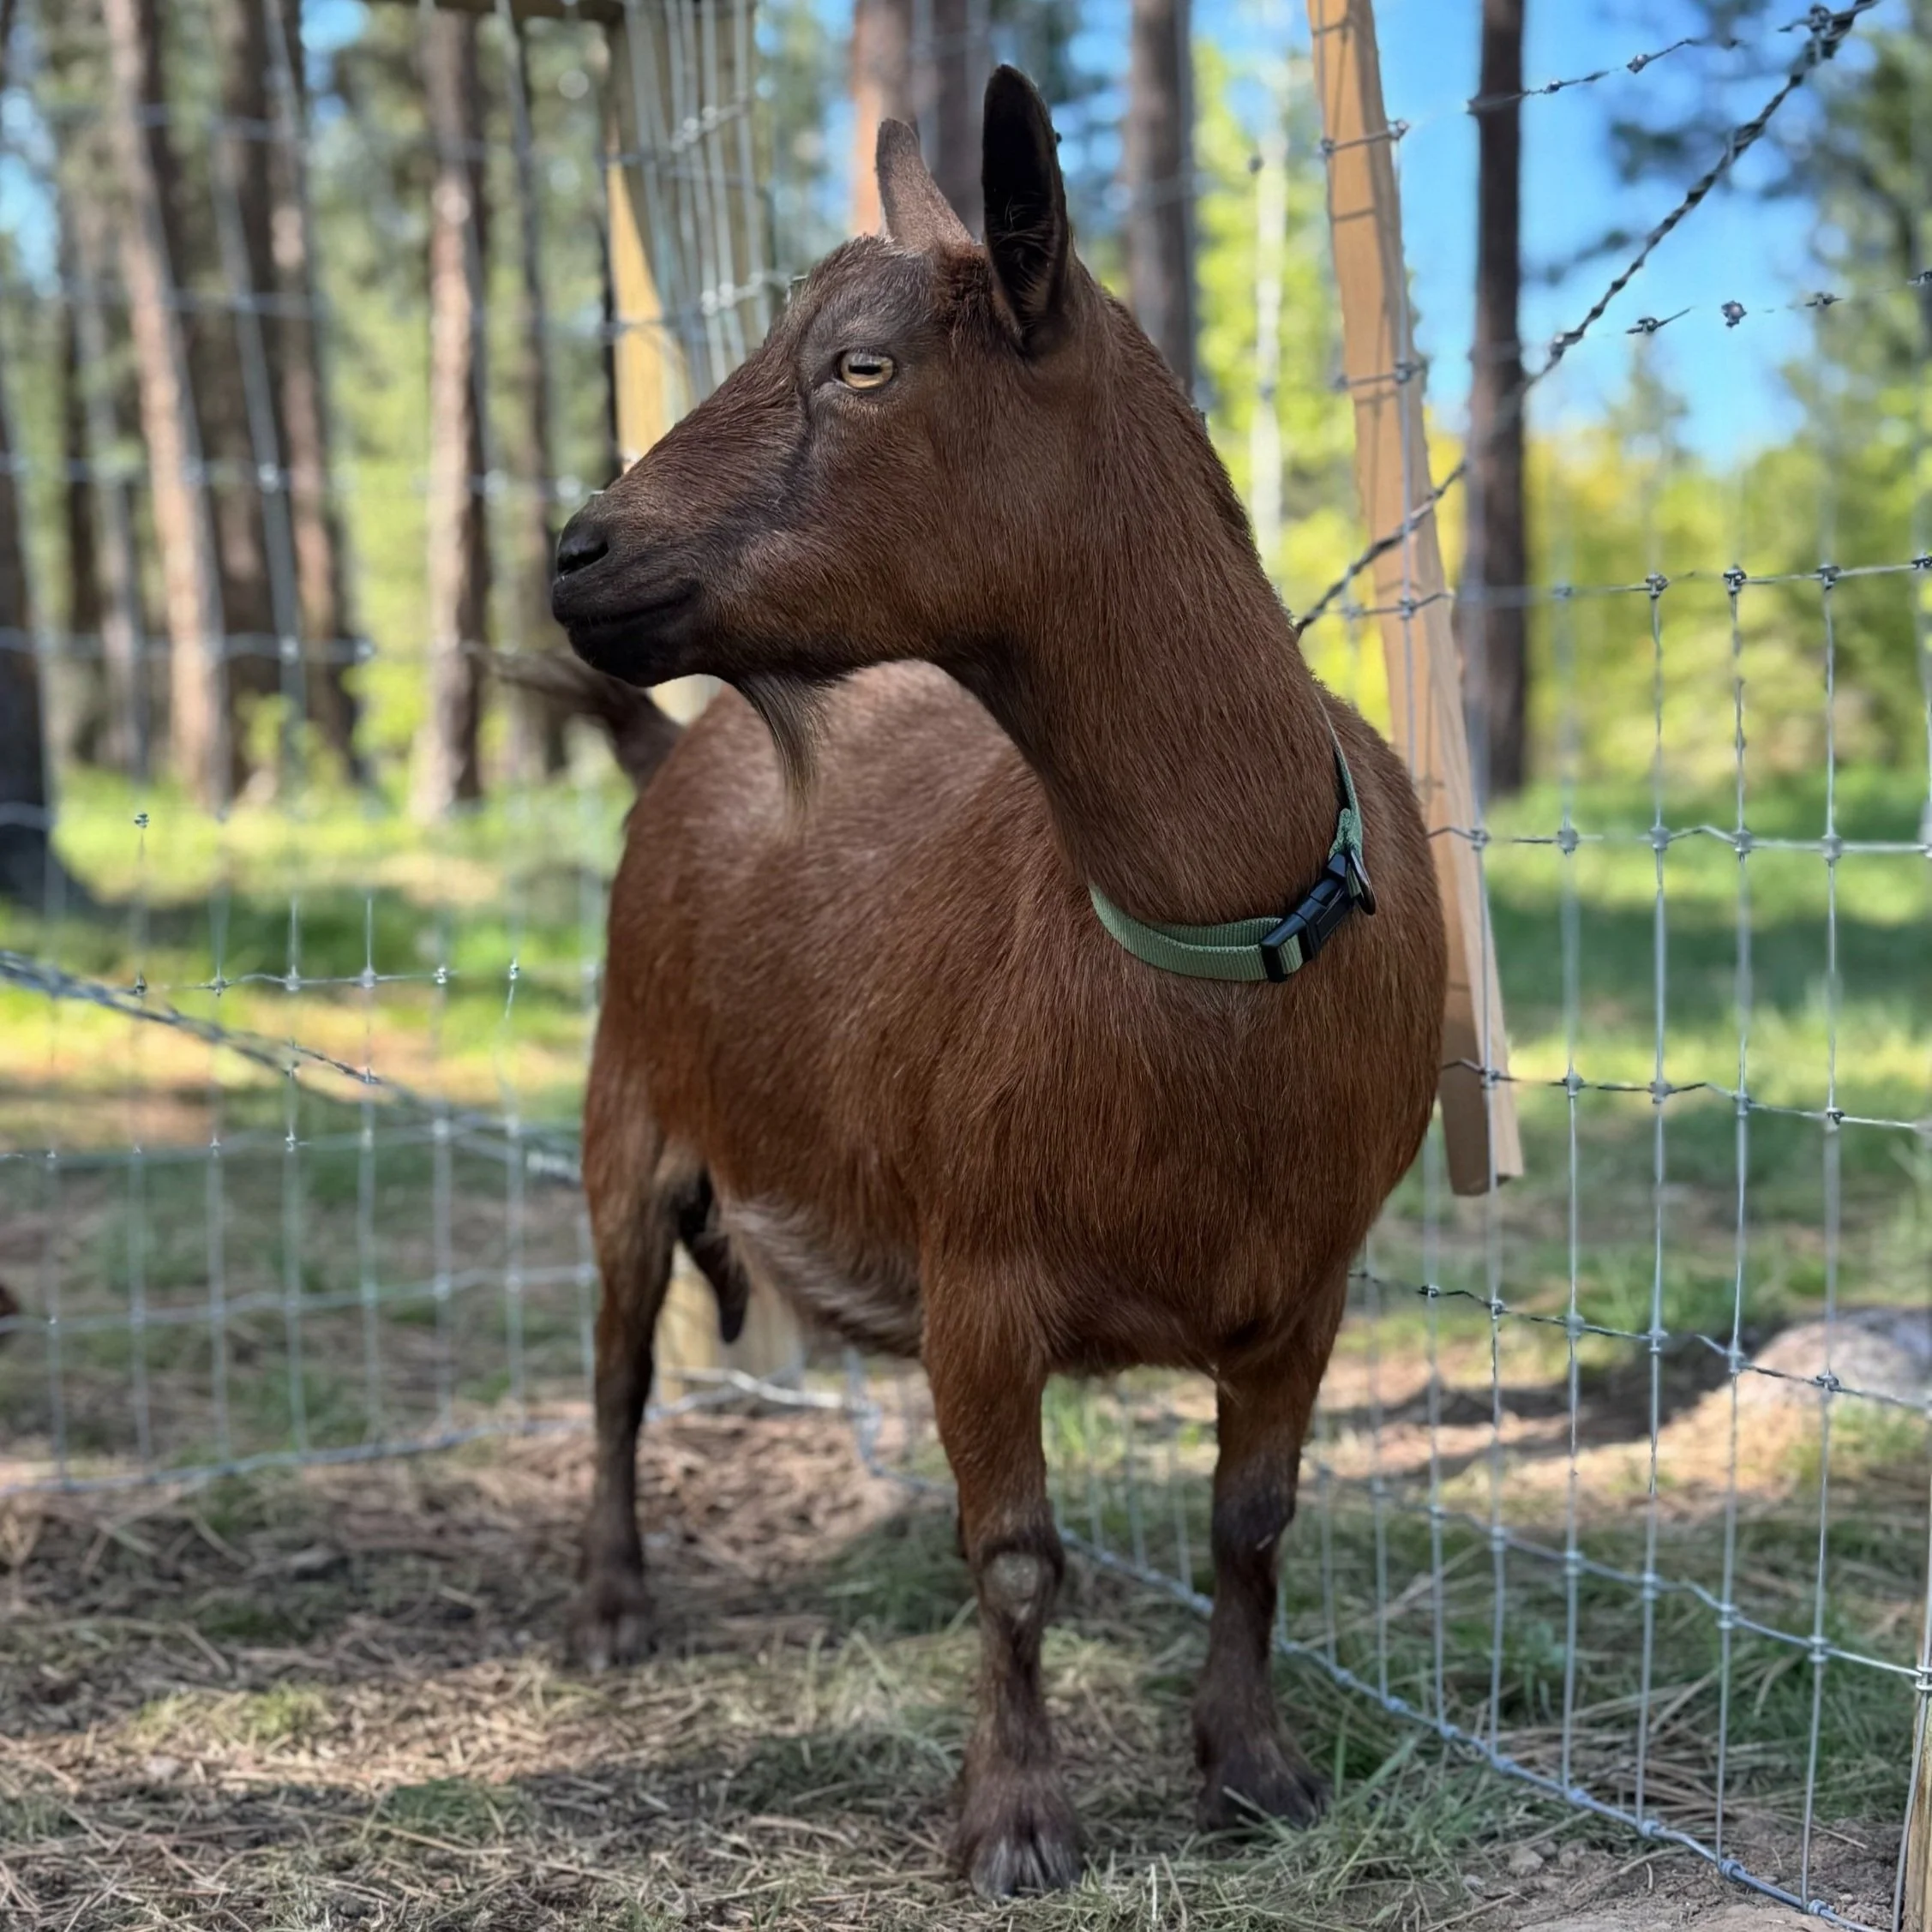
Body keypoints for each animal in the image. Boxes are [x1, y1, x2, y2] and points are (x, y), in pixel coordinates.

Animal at [546, 69, 1446, 1896]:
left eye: (859, 365)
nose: (575, 552)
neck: (1210, 956)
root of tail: (679, 754)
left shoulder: (1306, 1288)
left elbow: (1252, 1524)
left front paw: (1252, 1767)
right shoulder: (976, 1274)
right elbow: (1016, 1552)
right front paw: (1016, 1817)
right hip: (624, 1110)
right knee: (613, 1370)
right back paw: (611, 1605)